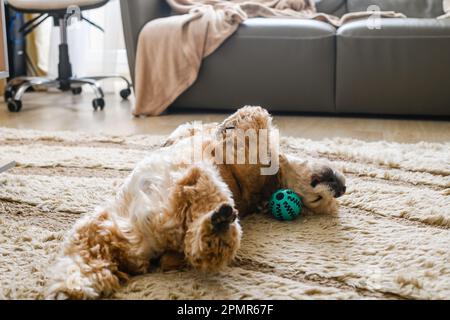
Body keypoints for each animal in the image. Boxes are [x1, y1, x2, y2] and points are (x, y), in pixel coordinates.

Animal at [45, 106, 346, 298]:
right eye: (318, 198)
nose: (341, 188)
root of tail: (152, 241)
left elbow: (253, 119)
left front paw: (232, 125)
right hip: (98, 234)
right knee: (84, 264)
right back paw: (69, 290)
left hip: (197, 186)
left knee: (201, 247)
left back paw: (217, 226)